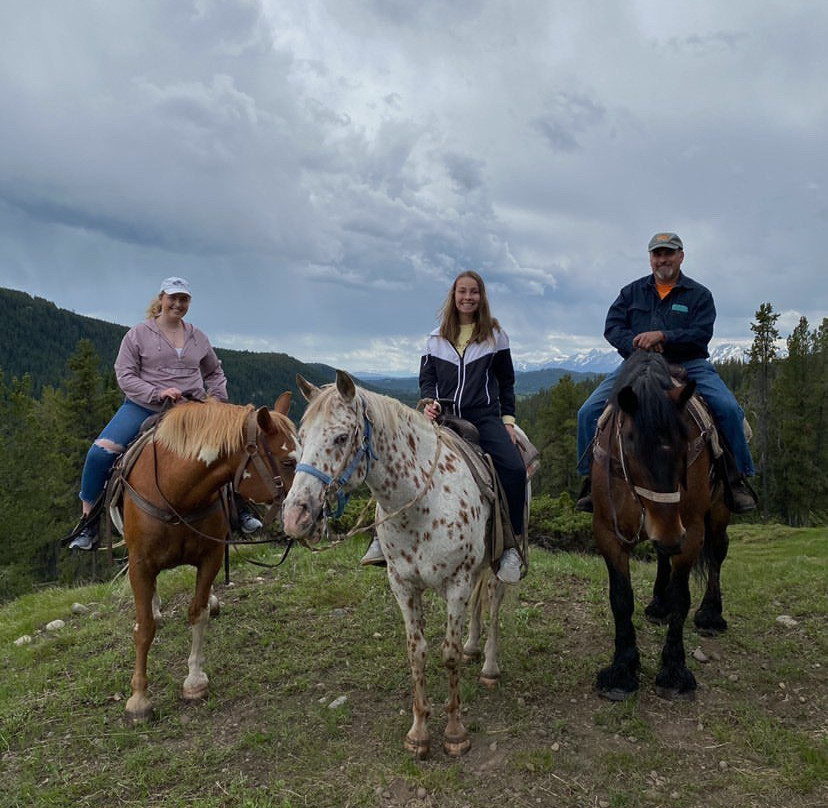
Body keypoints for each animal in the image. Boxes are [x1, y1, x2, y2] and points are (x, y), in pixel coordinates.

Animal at [282, 370, 508, 756]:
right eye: (301, 436)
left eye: (341, 437)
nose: (296, 517)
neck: (421, 503)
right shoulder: (402, 585)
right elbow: (417, 654)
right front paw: (418, 732)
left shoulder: (456, 583)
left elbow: (447, 655)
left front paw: (455, 732)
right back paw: (473, 647)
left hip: (493, 566)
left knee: (492, 603)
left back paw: (490, 666)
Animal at [588, 352, 732, 700]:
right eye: (629, 442)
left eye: (685, 440)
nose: (670, 535)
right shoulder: (607, 532)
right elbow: (621, 598)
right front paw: (622, 669)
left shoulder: (690, 532)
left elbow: (682, 598)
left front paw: (674, 671)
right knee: (664, 556)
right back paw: (658, 605)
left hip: (717, 512)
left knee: (717, 553)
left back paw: (711, 615)